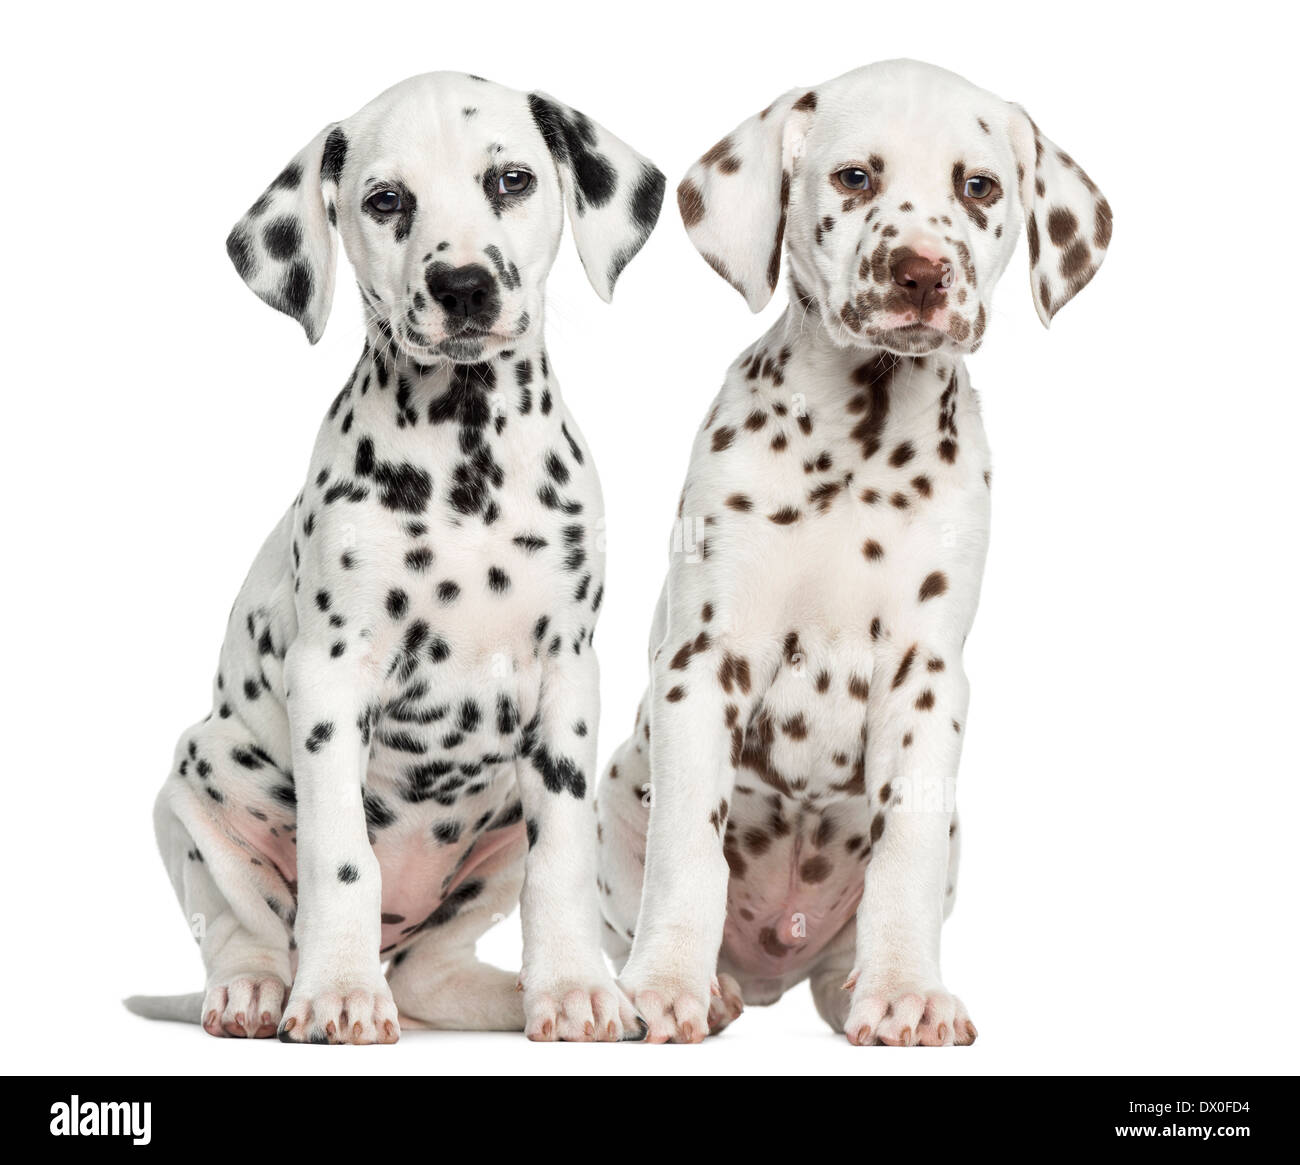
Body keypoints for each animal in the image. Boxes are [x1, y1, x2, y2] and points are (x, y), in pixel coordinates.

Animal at [125, 68, 660, 1040]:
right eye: (385, 201)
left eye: (512, 180)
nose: (463, 285)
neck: (467, 458)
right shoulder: (331, 678)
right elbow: (341, 858)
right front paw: (337, 992)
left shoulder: (569, 677)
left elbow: (562, 861)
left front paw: (574, 988)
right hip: (198, 782)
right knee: (243, 924)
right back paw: (258, 989)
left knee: (428, 973)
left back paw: (507, 993)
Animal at [603, 59, 1112, 1045]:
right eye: (854, 178)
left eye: (978, 187)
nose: (920, 273)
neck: (859, 439)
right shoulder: (703, 659)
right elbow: (689, 846)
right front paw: (667, 983)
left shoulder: (927, 676)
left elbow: (901, 851)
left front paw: (905, 989)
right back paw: (710, 983)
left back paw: (853, 987)